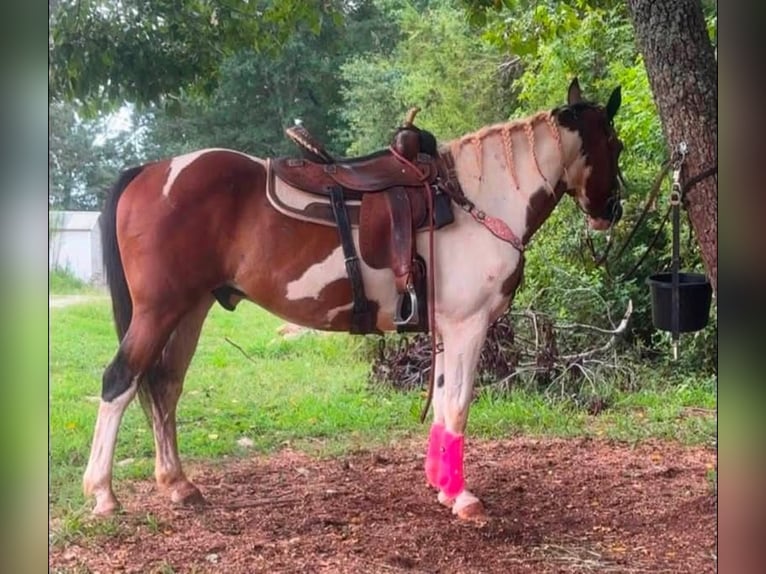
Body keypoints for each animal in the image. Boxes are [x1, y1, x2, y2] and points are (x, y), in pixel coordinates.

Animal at [82, 78, 623, 521]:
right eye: (615, 145)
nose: (612, 210)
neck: (477, 197)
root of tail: (151, 171)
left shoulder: (445, 328)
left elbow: (441, 400)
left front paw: (441, 486)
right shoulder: (467, 325)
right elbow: (458, 405)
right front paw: (462, 497)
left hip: (190, 310)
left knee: (164, 385)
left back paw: (178, 484)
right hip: (159, 310)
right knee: (120, 381)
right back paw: (103, 493)